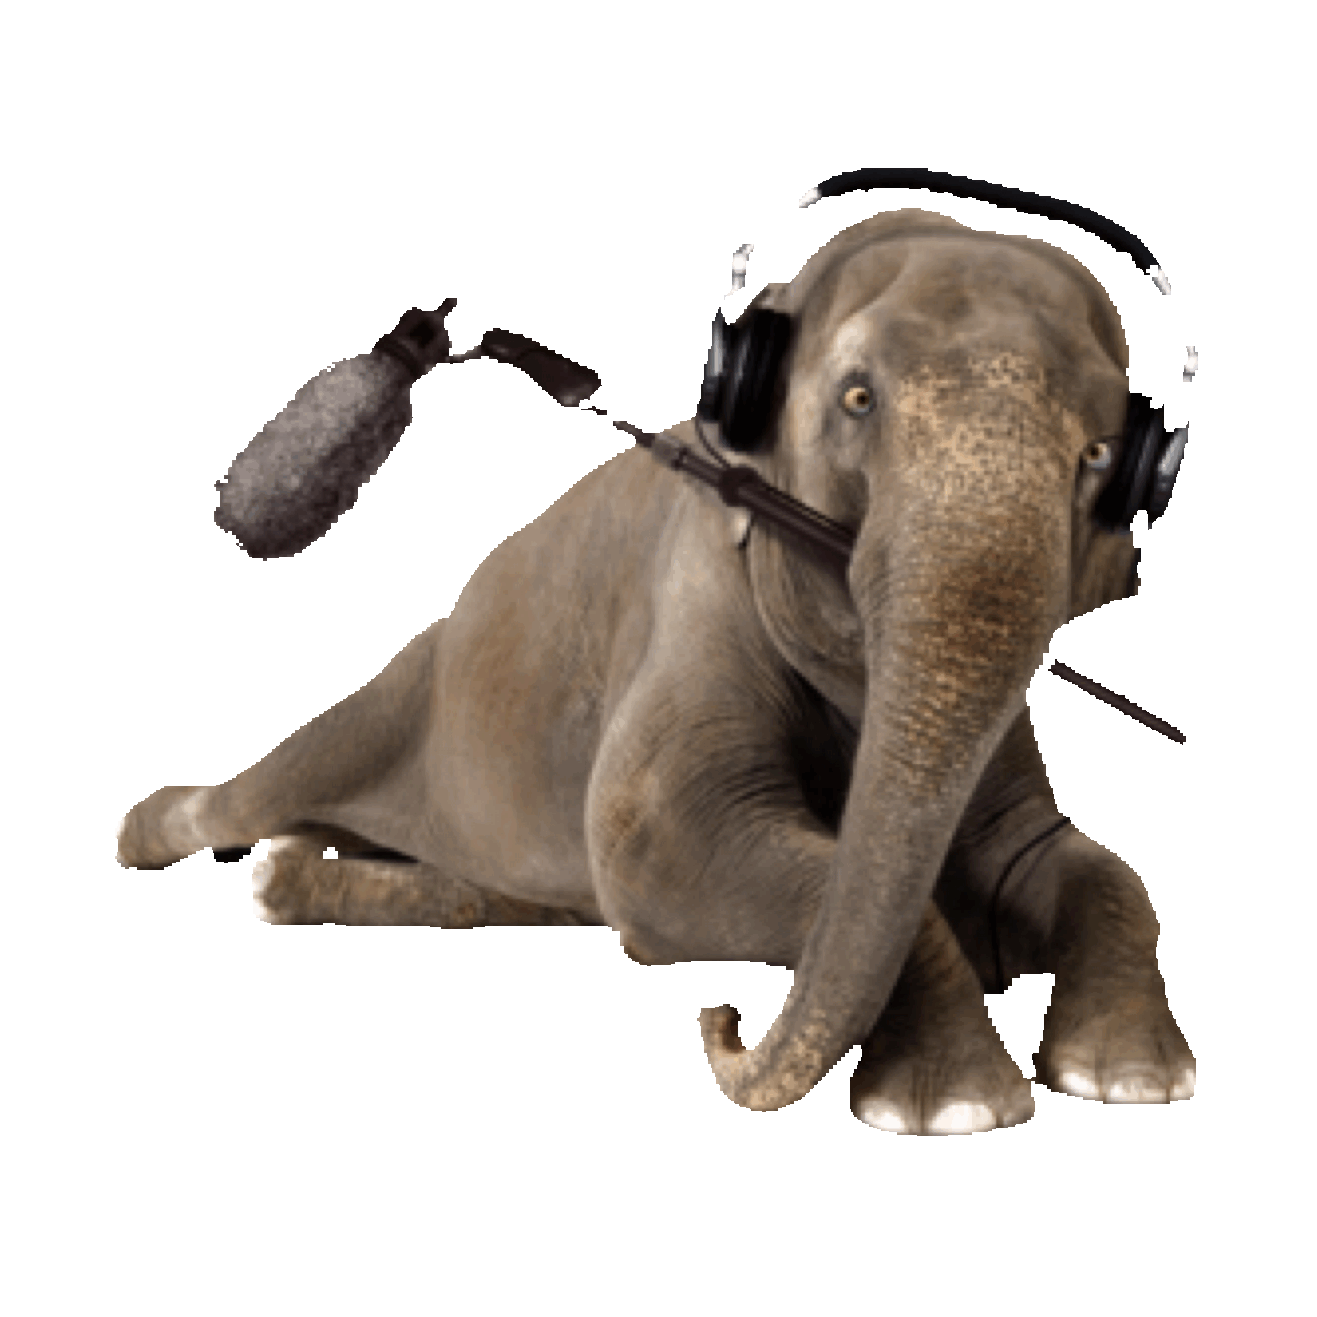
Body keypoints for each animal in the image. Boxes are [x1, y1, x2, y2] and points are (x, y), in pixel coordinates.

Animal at [116, 207, 1195, 1132]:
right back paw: (158, 832)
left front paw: (1127, 1077)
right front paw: (952, 1107)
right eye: (857, 398)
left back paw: (300, 877)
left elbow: (1071, 861)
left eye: (1104, 455)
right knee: (282, 779)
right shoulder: (692, 606)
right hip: (403, 687)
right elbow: (661, 844)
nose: (724, 1023)